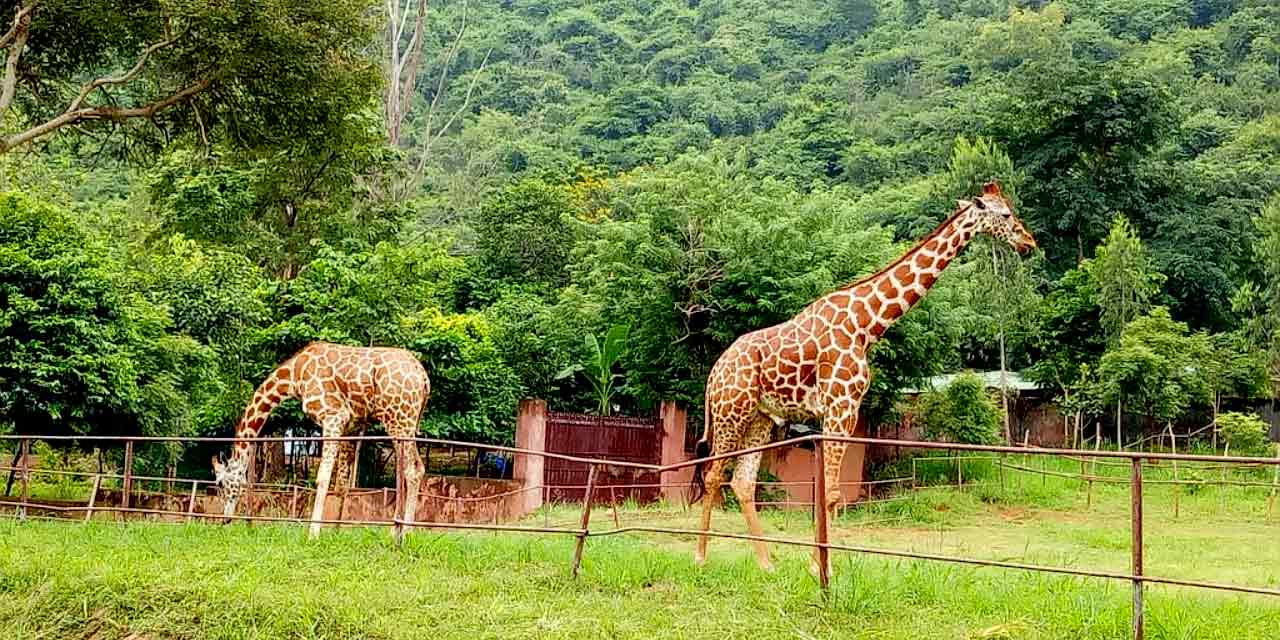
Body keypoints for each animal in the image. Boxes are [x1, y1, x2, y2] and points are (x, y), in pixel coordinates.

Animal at [209, 340, 430, 540]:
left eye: (220, 483)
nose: (225, 519)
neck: (295, 375)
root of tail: (424, 379)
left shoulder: (333, 416)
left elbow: (323, 477)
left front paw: (313, 533)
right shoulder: (351, 425)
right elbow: (342, 484)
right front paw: (335, 531)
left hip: (399, 420)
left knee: (412, 470)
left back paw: (403, 532)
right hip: (405, 422)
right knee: (416, 468)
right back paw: (400, 530)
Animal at [691, 181, 1039, 576]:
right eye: (1006, 214)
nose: (1029, 243)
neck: (866, 325)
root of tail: (714, 372)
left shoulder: (839, 410)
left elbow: (828, 491)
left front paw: (818, 564)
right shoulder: (842, 405)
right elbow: (831, 493)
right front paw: (822, 568)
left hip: (761, 418)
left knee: (742, 482)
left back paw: (766, 564)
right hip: (730, 412)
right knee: (713, 475)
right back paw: (701, 557)